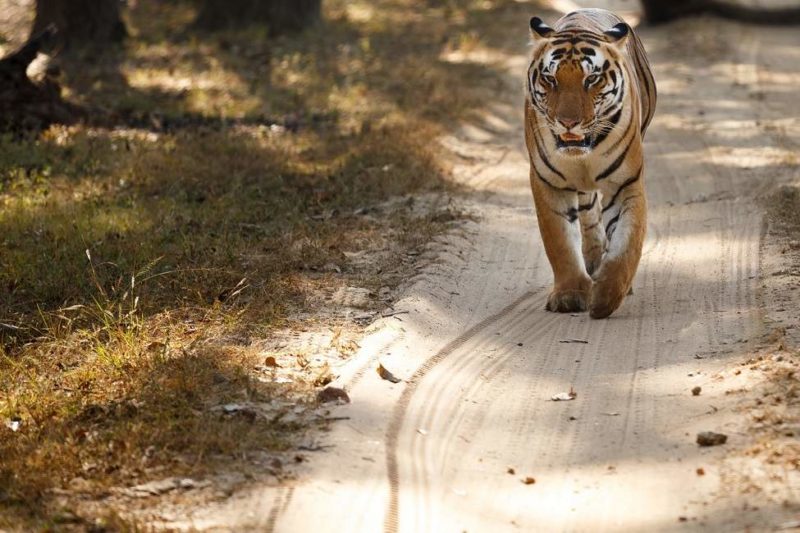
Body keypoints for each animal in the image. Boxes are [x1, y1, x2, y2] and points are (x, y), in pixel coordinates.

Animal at [524, 8, 656, 318]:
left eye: (592, 79)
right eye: (550, 79)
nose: (568, 122)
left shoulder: (626, 184)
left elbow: (627, 244)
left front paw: (607, 297)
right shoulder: (548, 183)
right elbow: (559, 242)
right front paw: (570, 294)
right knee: (588, 218)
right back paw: (593, 263)